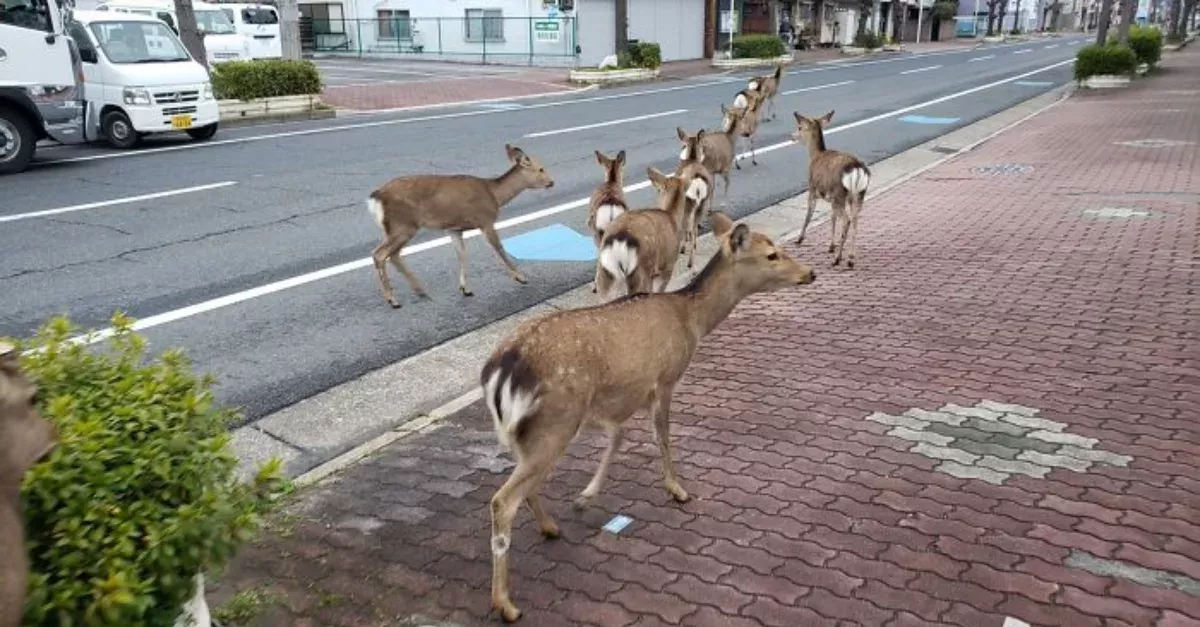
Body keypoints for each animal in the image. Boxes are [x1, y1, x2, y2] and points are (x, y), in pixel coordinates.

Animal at [367, 144, 555, 307]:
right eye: (541, 169)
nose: (551, 182)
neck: (494, 195)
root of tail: (376, 197)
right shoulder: (485, 219)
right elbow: (499, 248)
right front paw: (521, 277)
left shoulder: (454, 229)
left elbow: (462, 254)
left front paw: (465, 289)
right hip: (403, 224)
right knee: (380, 254)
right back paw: (393, 300)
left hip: (398, 228)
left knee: (393, 255)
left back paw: (421, 291)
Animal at [481, 212, 817, 623]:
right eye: (771, 254)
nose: (810, 273)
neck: (691, 320)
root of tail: (501, 372)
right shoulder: (665, 378)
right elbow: (663, 435)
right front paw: (677, 489)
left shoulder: (621, 394)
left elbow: (618, 438)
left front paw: (585, 497)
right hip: (555, 423)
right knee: (503, 501)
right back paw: (506, 604)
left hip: (528, 432)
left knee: (526, 486)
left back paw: (550, 527)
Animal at [791, 110, 871, 268]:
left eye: (799, 127)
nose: (791, 136)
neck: (815, 156)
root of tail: (857, 169)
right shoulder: (831, 198)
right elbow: (832, 218)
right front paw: (831, 246)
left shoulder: (812, 188)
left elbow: (808, 214)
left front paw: (799, 239)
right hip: (858, 195)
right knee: (855, 220)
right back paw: (850, 258)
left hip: (840, 194)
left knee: (847, 220)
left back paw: (837, 259)